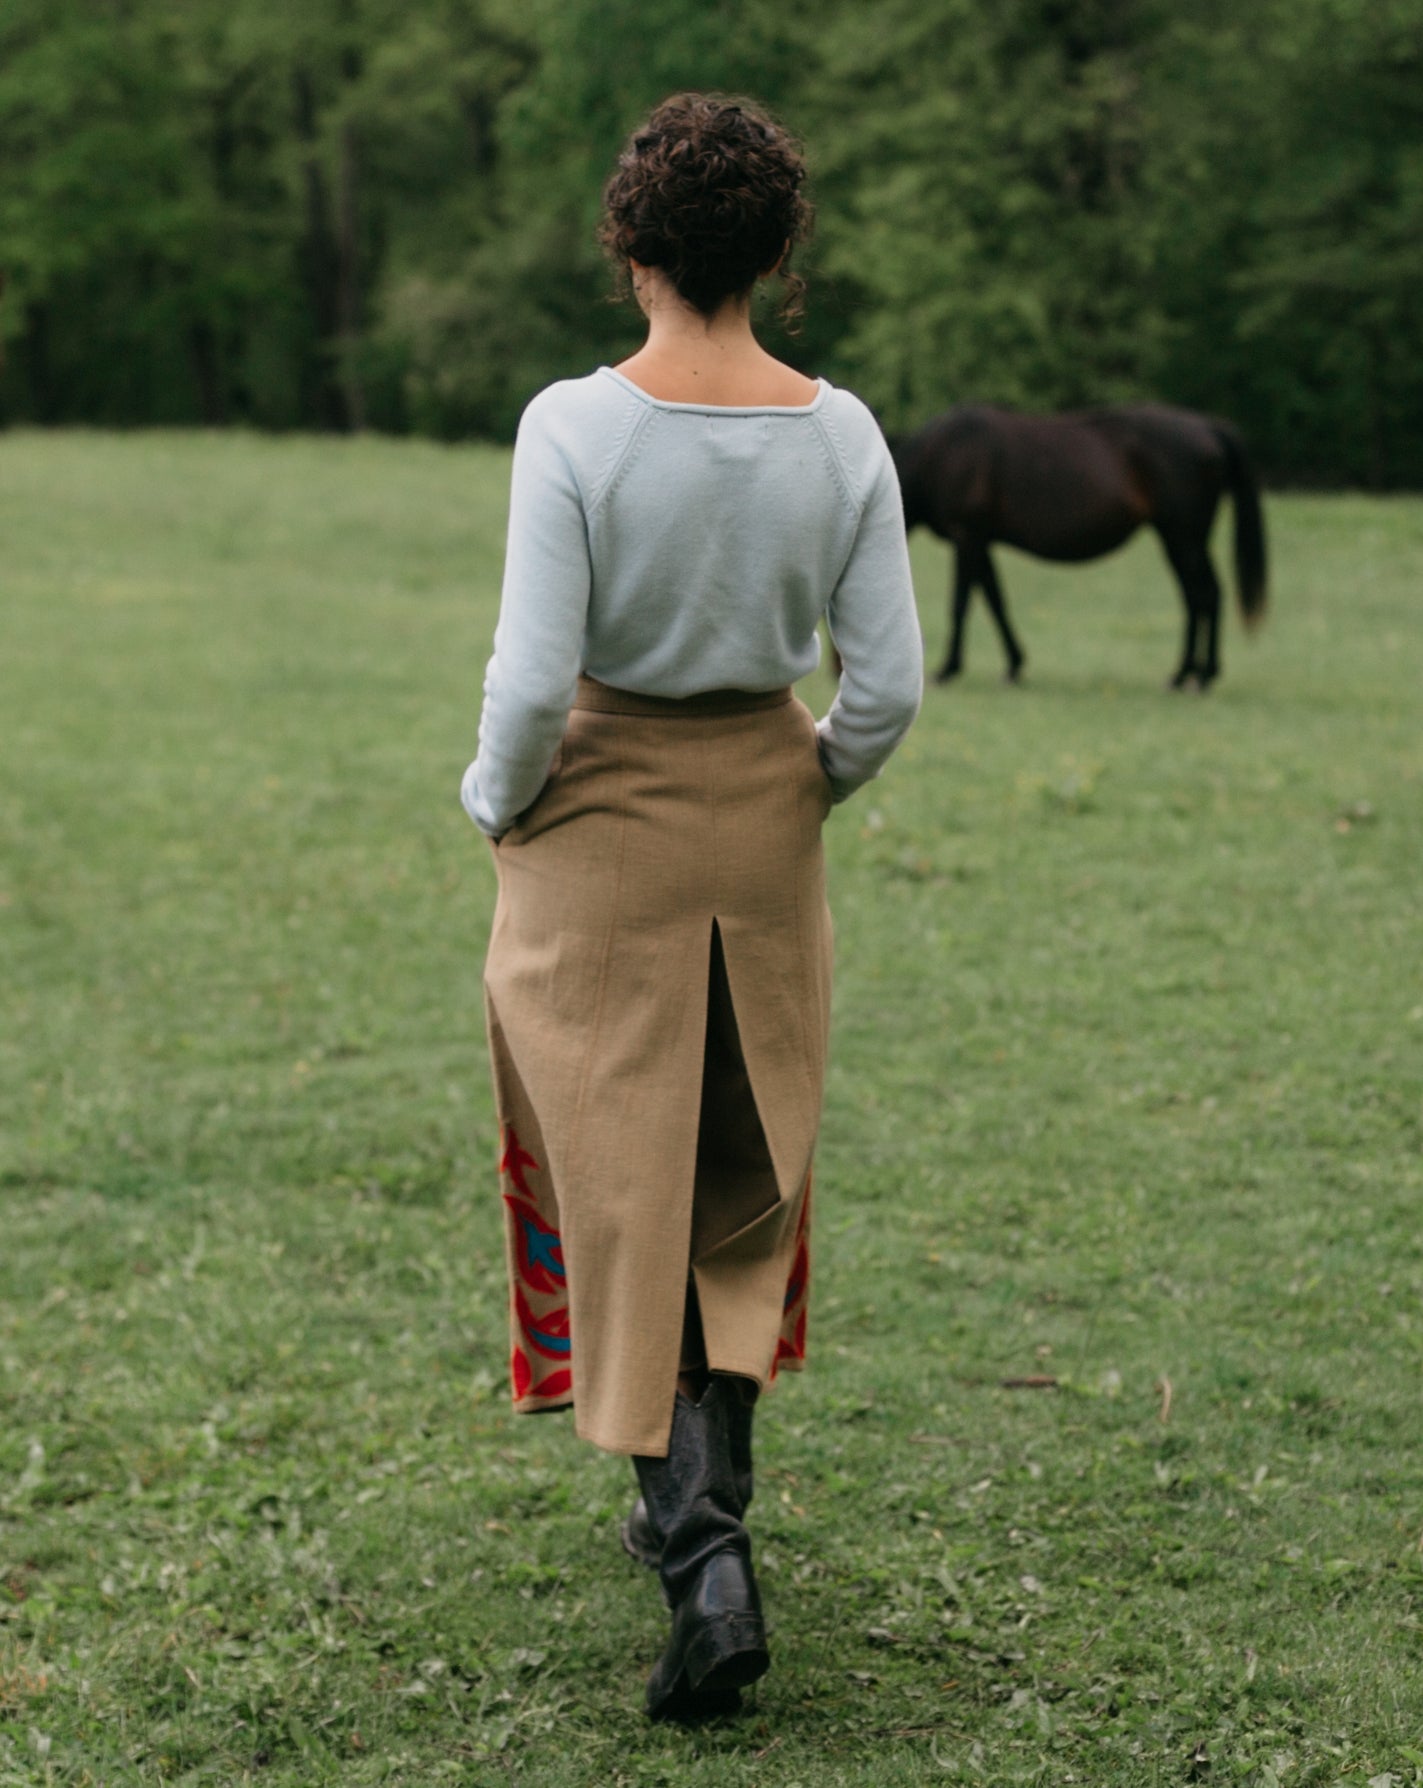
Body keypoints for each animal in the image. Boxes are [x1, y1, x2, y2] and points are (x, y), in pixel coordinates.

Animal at [890, 407, 1265, 690]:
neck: (939, 454)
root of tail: (1208, 427)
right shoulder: (981, 543)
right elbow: (996, 602)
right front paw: (1014, 665)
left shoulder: (967, 537)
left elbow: (961, 604)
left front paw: (947, 669)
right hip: (1179, 540)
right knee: (1197, 597)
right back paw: (1188, 673)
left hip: (1183, 538)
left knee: (1205, 595)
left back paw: (1199, 676)